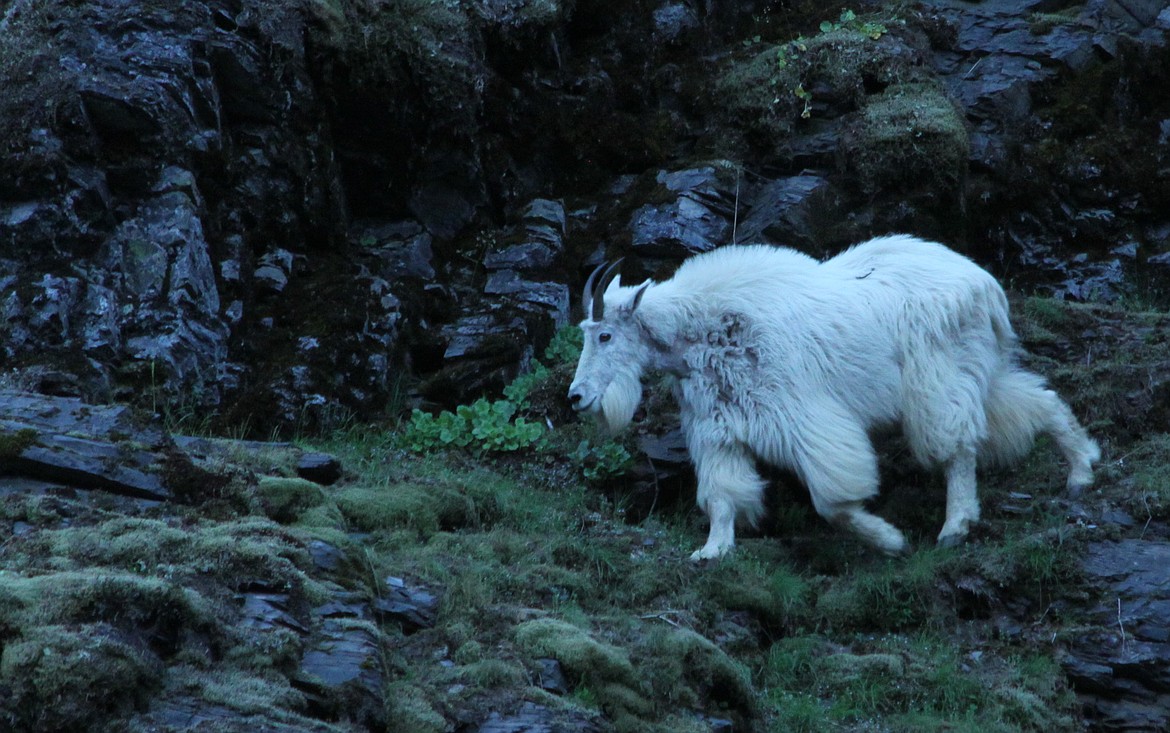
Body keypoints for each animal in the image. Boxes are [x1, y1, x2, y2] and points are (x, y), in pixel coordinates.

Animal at [570, 235, 1099, 559]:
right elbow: (721, 497)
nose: (576, 398)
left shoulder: (802, 417)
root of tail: (986, 285)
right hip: (976, 370)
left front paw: (891, 541)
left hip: (938, 377)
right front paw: (711, 551)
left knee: (958, 447)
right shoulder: (718, 428)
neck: (702, 331)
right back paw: (1080, 468)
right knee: (1036, 401)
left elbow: (833, 501)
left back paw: (955, 525)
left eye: (605, 336)